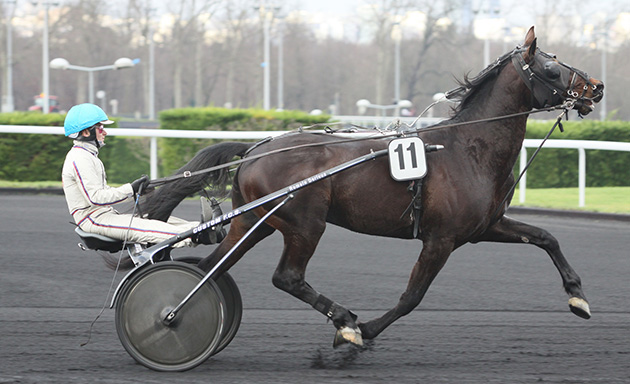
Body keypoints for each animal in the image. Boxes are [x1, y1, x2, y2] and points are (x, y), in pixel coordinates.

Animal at [141, 27, 604, 344]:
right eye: (551, 67)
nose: (596, 87)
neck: (468, 148)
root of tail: (258, 146)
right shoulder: (441, 238)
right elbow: (412, 296)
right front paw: (363, 330)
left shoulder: (485, 226)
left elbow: (545, 237)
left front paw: (577, 296)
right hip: (304, 224)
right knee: (286, 277)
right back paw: (343, 321)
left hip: (256, 222)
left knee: (211, 267)